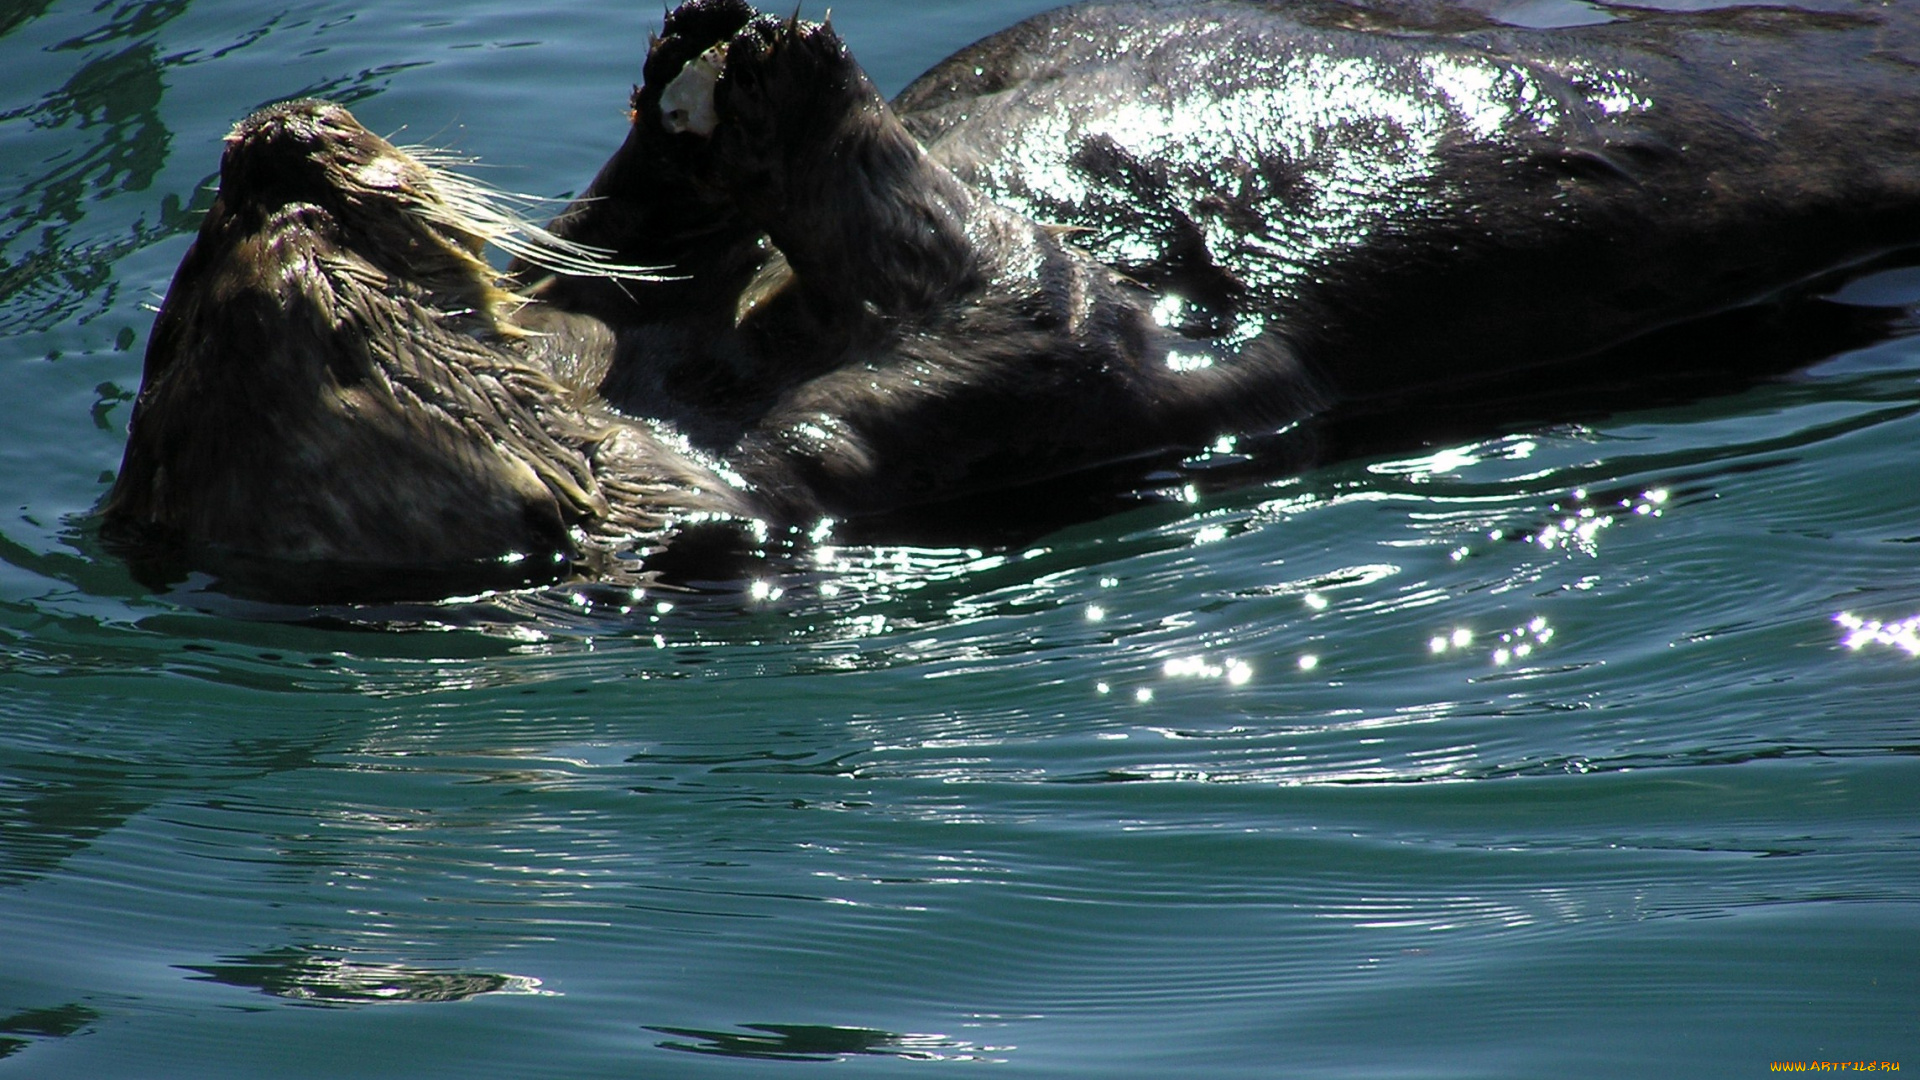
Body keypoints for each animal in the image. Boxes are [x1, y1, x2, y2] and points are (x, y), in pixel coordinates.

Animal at [108, 0, 1920, 595]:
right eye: (320, 264)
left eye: (188, 290)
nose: (269, 145)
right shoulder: (875, 450)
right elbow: (1024, 292)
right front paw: (791, 89)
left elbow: (616, 247)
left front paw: (689, 87)